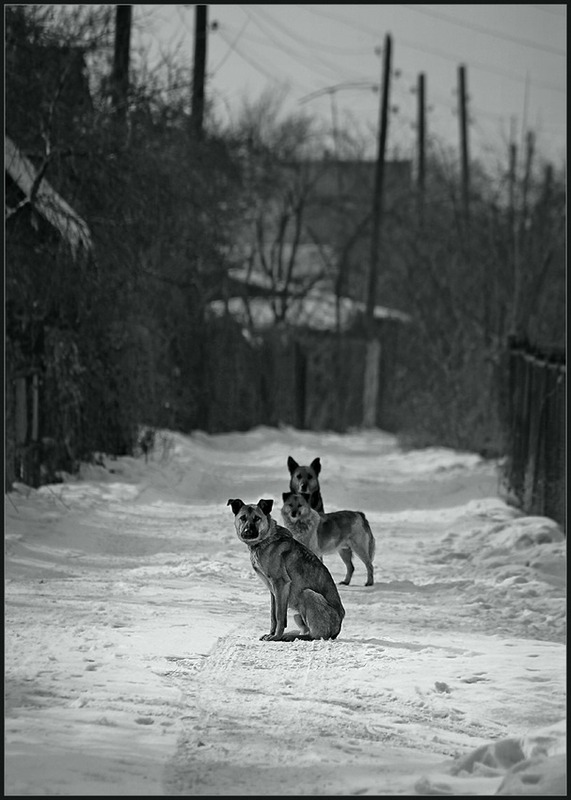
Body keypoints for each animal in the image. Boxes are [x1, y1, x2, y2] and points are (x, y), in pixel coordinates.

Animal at [227, 496, 344, 640]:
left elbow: (279, 616)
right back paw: (288, 636)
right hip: (297, 614)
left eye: (257, 518)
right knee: (305, 630)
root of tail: (338, 627)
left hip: (308, 594)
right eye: (242, 518)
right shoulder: (273, 591)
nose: (247, 532)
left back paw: (290, 637)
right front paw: (271, 634)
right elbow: (273, 615)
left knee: (315, 635)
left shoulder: (280, 583)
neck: (265, 540)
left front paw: (275, 636)